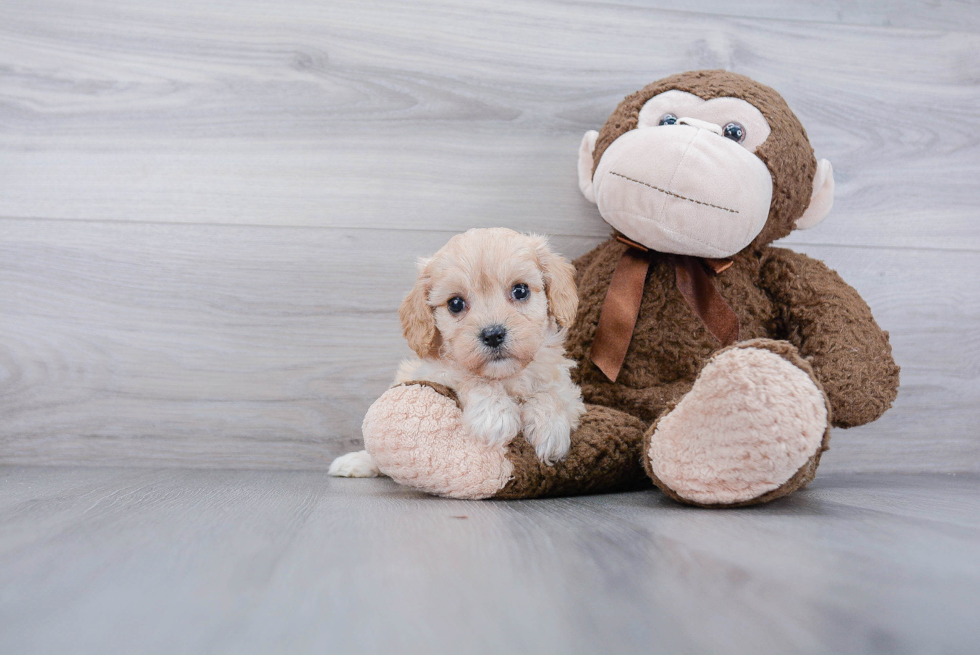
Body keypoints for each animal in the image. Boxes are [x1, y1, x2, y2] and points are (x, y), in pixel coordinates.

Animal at [334, 228, 584, 480]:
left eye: (520, 290)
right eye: (455, 303)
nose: (493, 335)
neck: (506, 376)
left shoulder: (569, 392)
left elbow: (551, 393)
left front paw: (550, 428)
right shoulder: (435, 372)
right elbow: (469, 376)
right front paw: (495, 416)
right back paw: (353, 462)